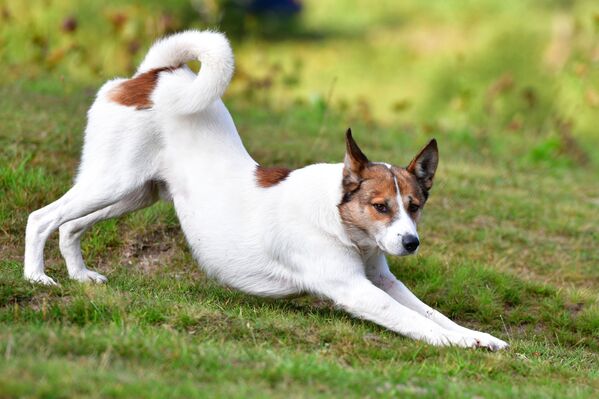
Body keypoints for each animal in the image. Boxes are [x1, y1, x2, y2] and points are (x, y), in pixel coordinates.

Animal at [25, 30, 508, 350]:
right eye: (380, 206)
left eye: (415, 205)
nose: (411, 242)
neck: (336, 218)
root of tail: (152, 74)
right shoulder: (356, 290)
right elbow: (416, 322)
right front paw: (457, 344)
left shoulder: (382, 280)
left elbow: (432, 312)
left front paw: (477, 336)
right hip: (111, 182)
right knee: (43, 218)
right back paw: (37, 277)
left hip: (133, 194)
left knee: (71, 226)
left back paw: (80, 276)